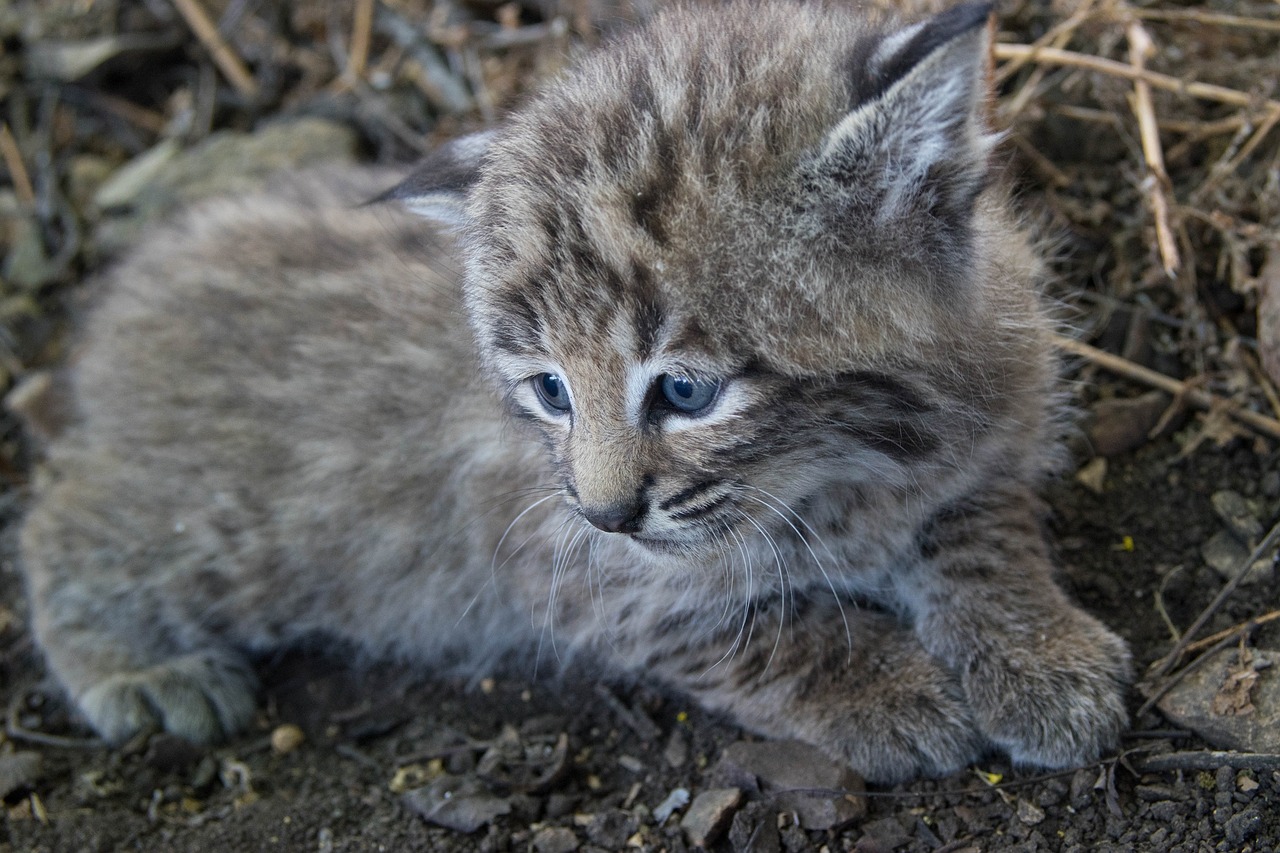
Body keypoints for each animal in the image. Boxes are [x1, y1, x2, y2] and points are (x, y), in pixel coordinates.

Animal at [20, 3, 1131, 778]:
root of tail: (133, 281)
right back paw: (138, 671)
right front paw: (884, 685)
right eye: (550, 390)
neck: (845, 466)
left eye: (685, 390)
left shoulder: (990, 422)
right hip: (222, 531)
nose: (606, 511)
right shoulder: (561, 563)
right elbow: (745, 631)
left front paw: (1038, 654)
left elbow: (983, 532)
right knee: (60, 520)